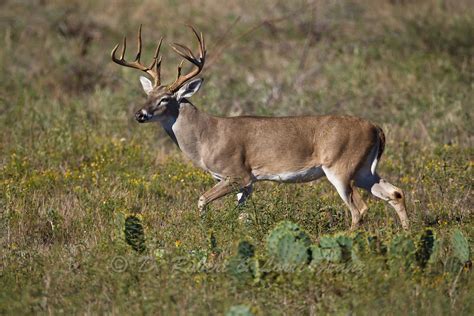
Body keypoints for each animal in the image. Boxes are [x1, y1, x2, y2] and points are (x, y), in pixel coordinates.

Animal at [110, 25, 408, 230]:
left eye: (165, 99)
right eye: (147, 95)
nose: (139, 114)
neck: (206, 136)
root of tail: (377, 129)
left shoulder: (237, 173)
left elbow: (202, 200)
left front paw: (204, 230)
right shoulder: (249, 182)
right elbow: (242, 215)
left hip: (340, 166)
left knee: (360, 208)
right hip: (364, 169)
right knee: (394, 192)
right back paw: (407, 235)